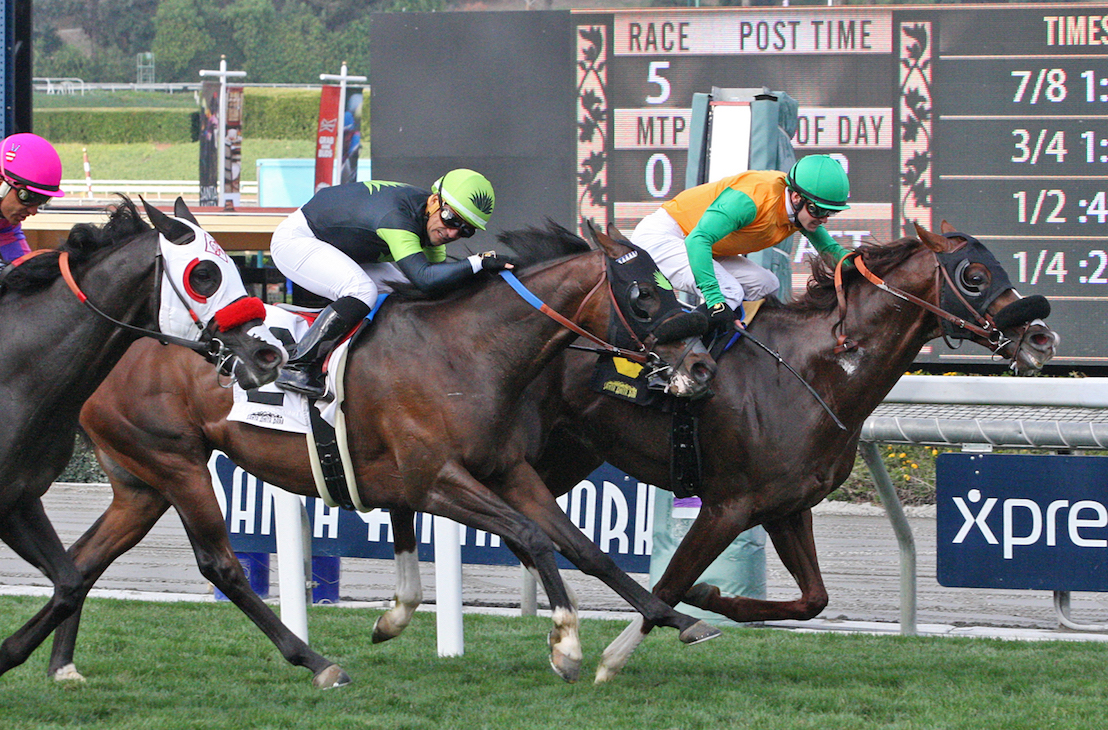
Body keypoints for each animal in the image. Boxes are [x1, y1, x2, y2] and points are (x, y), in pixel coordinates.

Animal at [36, 221, 717, 686]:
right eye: (645, 296)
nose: (702, 365)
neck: (470, 349)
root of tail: (117, 346)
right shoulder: (435, 481)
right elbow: (531, 537)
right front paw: (567, 645)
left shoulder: (506, 470)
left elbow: (582, 547)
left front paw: (679, 620)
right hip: (176, 464)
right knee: (219, 565)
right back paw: (316, 662)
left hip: (142, 484)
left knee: (83, 559)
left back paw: (61, 664)